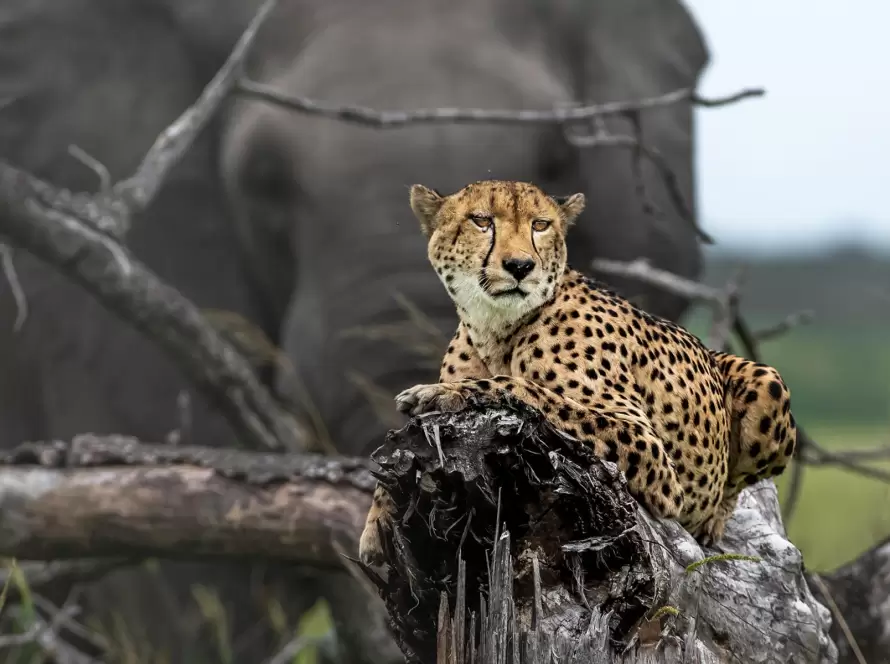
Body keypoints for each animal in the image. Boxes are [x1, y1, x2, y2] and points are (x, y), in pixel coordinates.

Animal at [358, 179, 796, 565]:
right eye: (481, 220)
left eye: (540, 224)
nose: (520, 266)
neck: (494, 326)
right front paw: (376, 522)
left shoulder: (648, 447)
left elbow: (525, 388)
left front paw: (444, 393)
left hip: (767, 381)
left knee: (734, 487)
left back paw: (711, 520)